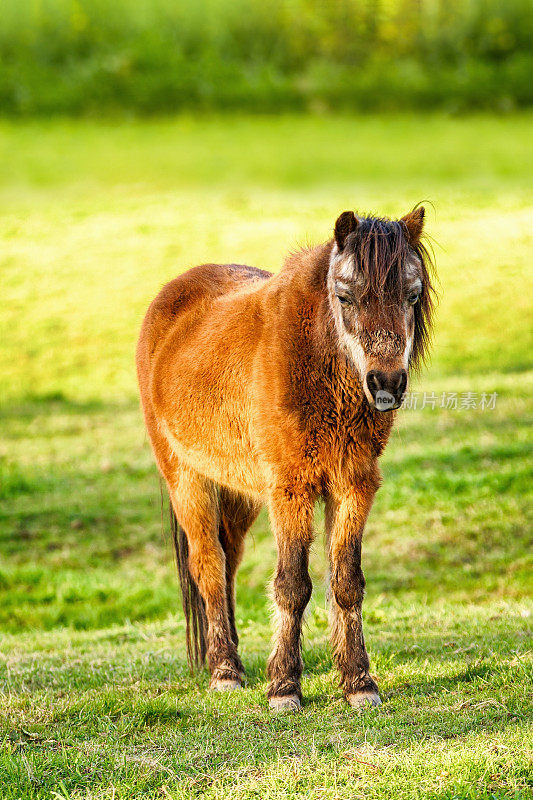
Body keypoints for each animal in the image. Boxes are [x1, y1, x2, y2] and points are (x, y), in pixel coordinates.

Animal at [135, 208, 434, 712]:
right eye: (345, 295)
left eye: (411, 295)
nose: (387, 383)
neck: (313, 359)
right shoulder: (291, 489)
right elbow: (293, 586)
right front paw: (284, 688)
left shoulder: (352, 485)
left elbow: (346, 581)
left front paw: (358, 682)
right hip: (188, 480)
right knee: (209, 565)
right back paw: (225, 672)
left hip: (240, 493)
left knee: (229, 562)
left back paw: (235, 659)